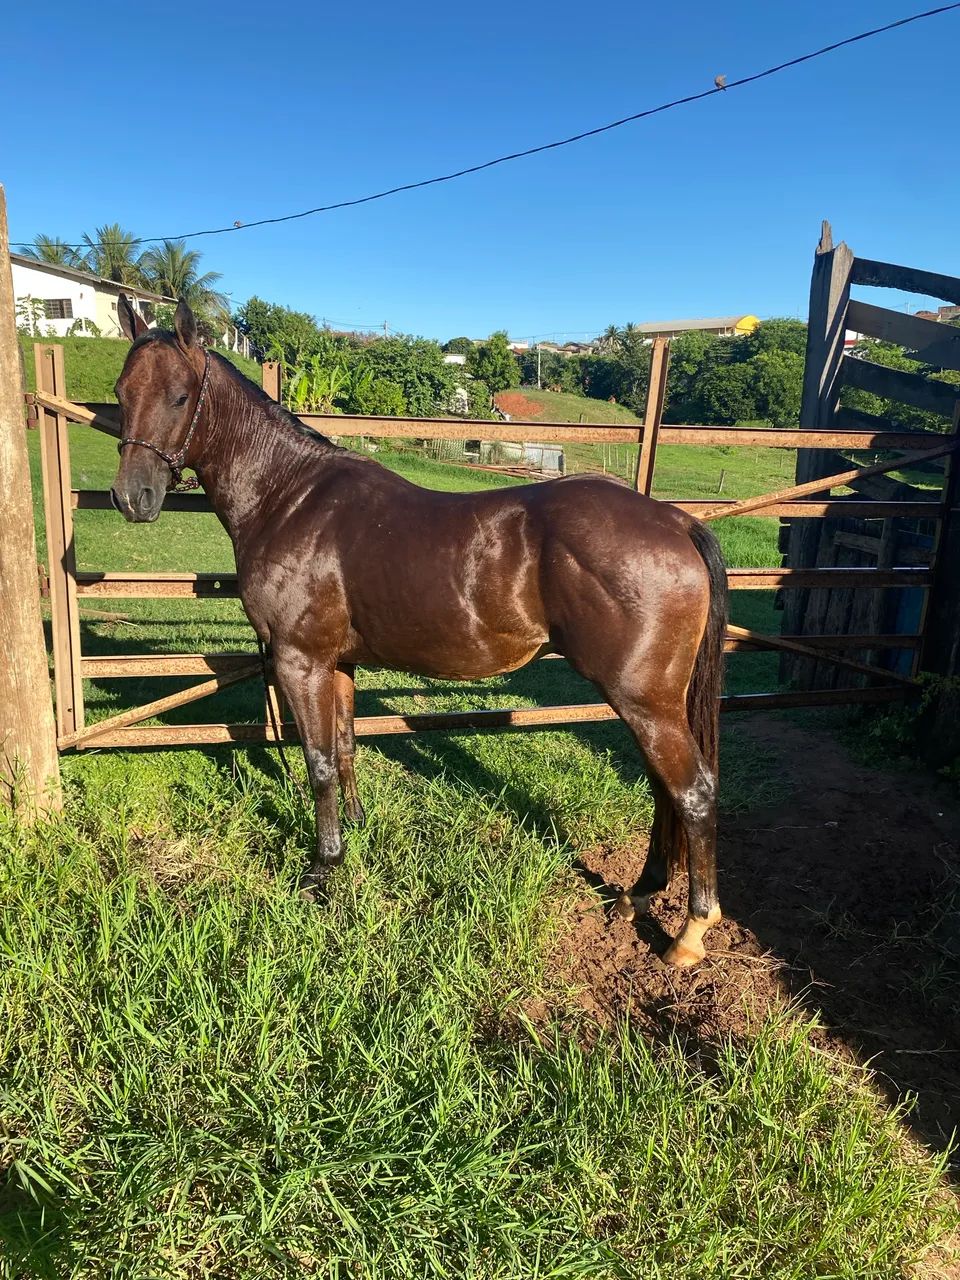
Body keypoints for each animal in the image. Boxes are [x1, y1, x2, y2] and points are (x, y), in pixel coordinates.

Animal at [110, 296, 728, 967]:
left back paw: (690, 933)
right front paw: (354, 829)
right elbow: (345, 746)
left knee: (691, 793)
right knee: (666, 792)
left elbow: (318, 761)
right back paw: (639, 894)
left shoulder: (300, 659)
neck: (289, 497)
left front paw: (323, 869)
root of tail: (674, 521)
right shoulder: (338, 662)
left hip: (644, 701)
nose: (131, 498)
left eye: (179, 396)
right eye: (121, 392)